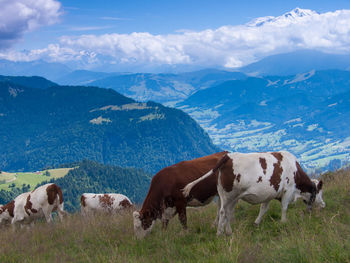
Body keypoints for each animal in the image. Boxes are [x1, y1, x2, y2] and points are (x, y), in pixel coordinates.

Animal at [183, 152, 326, 236]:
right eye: (320, 192)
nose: (323, 205)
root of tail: (228, 157)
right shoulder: (288, 190)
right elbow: (284, 208)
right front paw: (283, 222)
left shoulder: (270, 193)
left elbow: (264, 209)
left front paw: (256, 223)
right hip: (229, 195)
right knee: (223, 212)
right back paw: (219, 233)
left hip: (230, 196)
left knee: (227, 212)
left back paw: (229, 232)